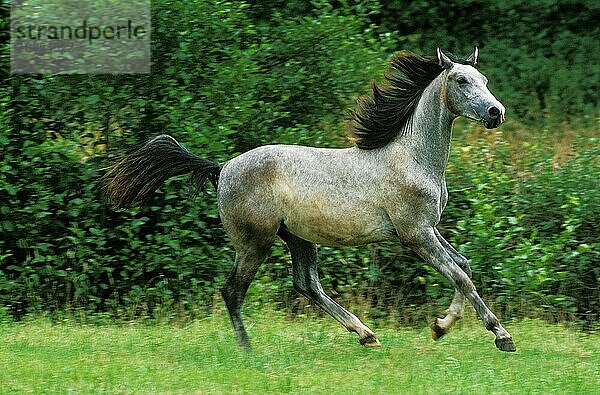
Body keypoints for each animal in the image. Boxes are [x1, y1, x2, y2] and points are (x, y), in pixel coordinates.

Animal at [102, 48, 516, 354]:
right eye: (461, 80)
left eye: (485, 80)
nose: (496, 113)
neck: (413, 157)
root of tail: (222, 168)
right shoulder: (415, 233)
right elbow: (460, 274)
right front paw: (494, 336)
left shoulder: (429, 228)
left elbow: (463, 267)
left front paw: (447, 327)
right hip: (255, 242)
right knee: (233, 291)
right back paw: (248, 350)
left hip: (298, 239)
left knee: (306, 284)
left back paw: (366, 335)